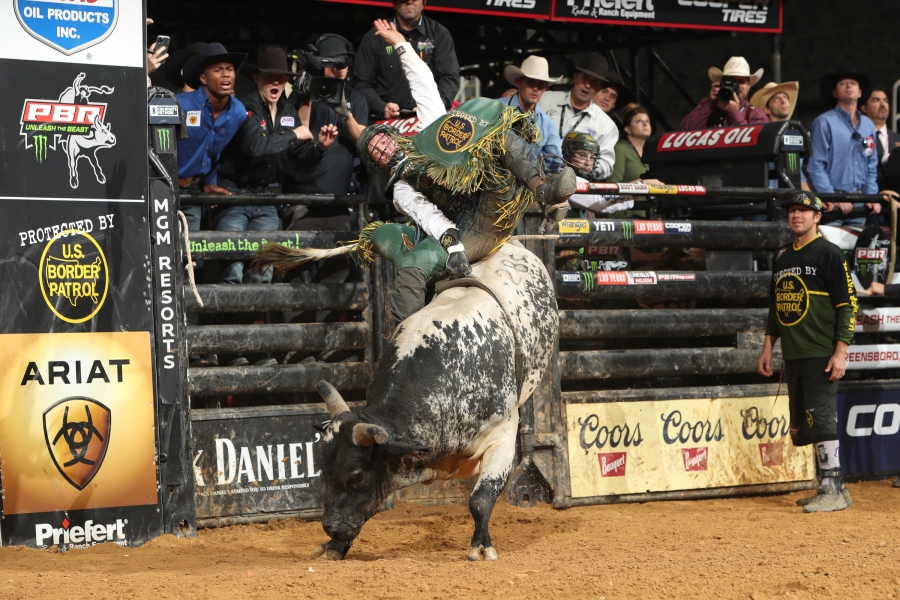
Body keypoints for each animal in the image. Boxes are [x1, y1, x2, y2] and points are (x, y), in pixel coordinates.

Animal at [309, 241, 558, 561]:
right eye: (323, 470)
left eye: (357, 475)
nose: (330, 526)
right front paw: (334, 547)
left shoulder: (502, 436)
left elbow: (480, 499)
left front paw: (481, 546)